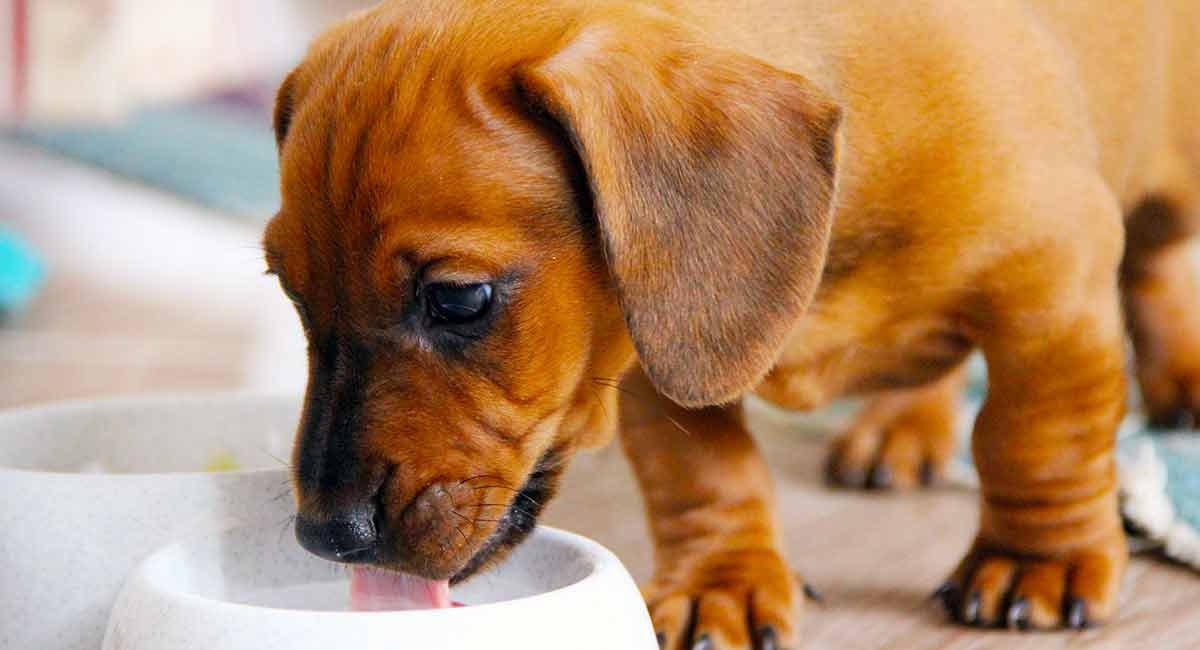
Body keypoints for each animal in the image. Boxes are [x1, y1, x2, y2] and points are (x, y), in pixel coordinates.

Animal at [265, 2, 1200, 647]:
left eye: (459, 299)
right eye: (289, 292)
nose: (326, 536)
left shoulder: (1053, 285)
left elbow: (1037, 434)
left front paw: (1039, 560)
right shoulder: (657, 347)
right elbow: (705, 474)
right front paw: (726, 582)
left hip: (1169, 186)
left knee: (1157, 265)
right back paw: (904, 425)